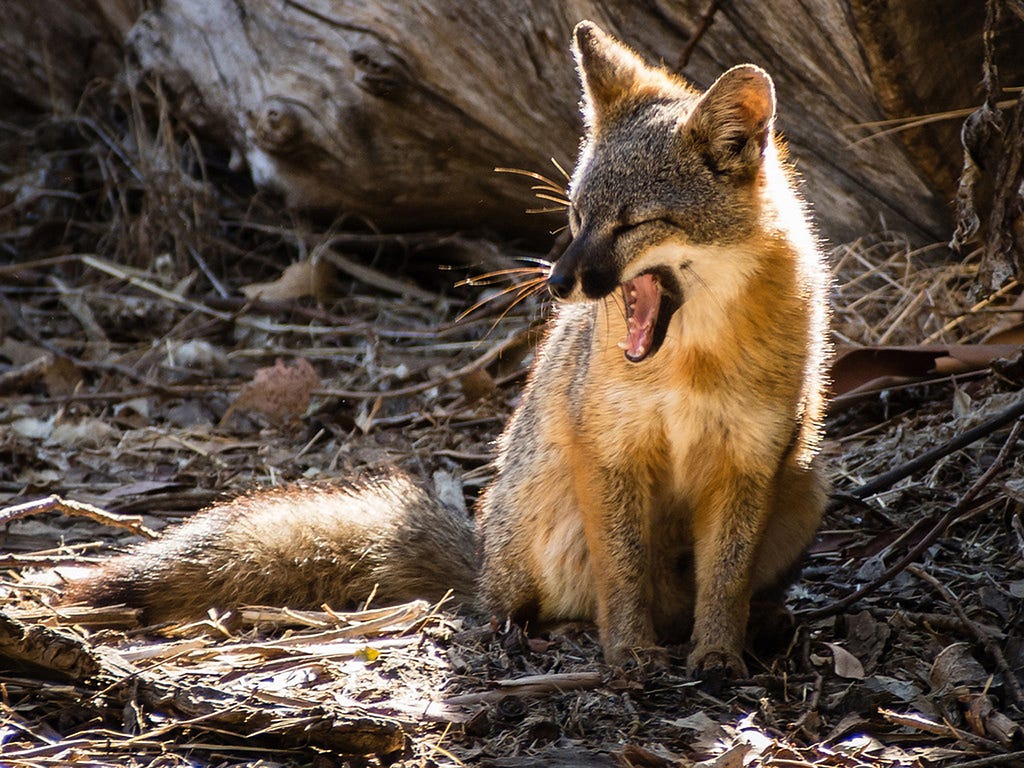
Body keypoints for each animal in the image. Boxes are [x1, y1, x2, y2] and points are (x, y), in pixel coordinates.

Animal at [61, 19, 831, 679]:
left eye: (633, 224)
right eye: (577, 216)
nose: (557, 283)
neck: (691, 366)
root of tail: (485, 555)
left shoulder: (749, 462)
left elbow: (724, 582)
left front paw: (719, 653)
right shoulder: (609, 449)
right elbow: (624, 577)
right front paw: (630, 654)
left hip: (805, 485)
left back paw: (757, 624)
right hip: (552, 520)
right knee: (526, 600)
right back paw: (527, 629)